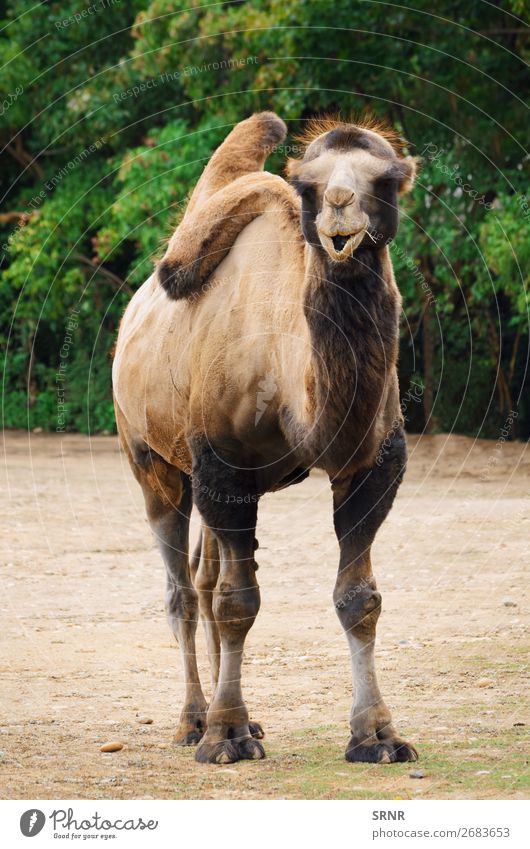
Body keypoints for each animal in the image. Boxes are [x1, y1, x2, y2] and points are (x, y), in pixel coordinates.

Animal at [113, 109, 418, 764]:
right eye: (308, 185)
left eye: (385, 180)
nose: (338, 208)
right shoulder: (222, 465)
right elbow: (238, 602)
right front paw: (224, 737)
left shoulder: (373, 465)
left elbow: (359, 599)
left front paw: (377, 735)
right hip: (150, 458)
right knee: (183, 593)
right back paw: (194, 721)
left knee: (203, 581)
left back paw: (239, 720)